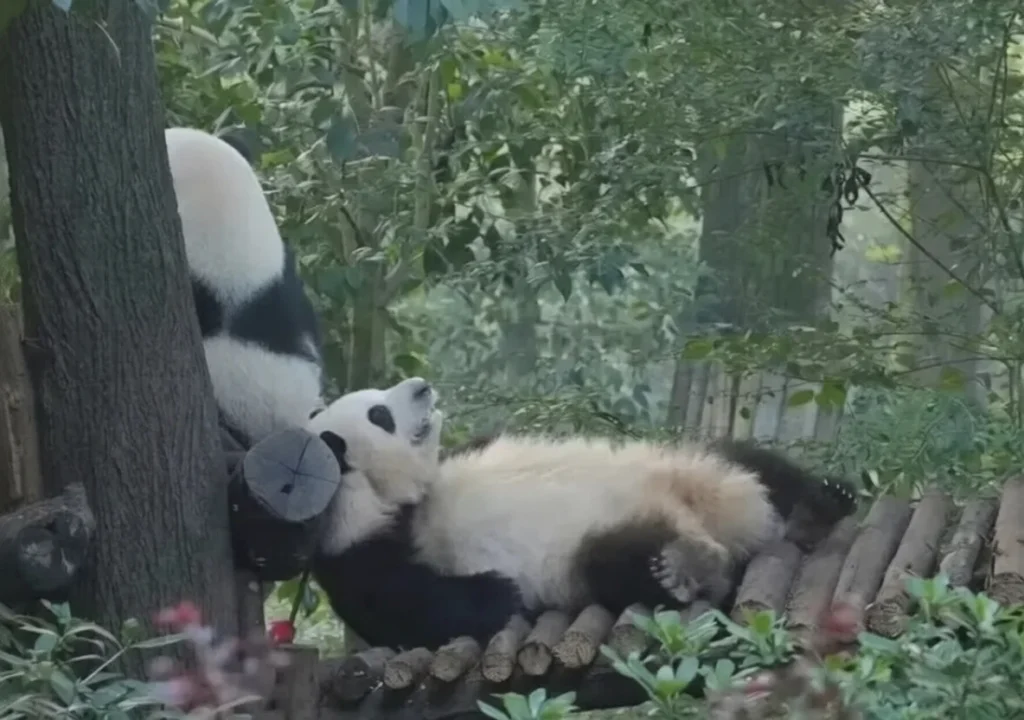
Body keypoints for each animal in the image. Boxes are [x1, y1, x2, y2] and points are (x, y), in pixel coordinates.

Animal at [305, 378, 858, 651]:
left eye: (379, 400)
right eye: (380, 415)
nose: (421, 385)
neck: (394, 496)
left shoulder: (463, 453)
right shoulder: (358, 548)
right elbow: (410, 607)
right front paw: (497, 591)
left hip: (696, 462)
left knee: (756, 465)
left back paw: (818, 504)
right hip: (588, 555)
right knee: (620, 564)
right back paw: (683, 568)